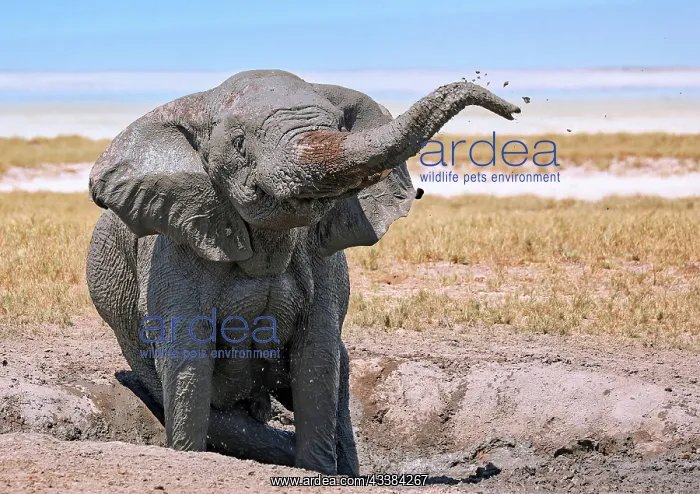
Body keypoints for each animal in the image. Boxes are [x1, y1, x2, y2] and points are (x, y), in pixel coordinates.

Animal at [85, 69, 520, 475]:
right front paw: (188, 457)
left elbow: (318, 358)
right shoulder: (176, 244)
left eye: (338, 128)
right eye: (239, 143)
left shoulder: (321, 258)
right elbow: (187, 360)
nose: (514, 108)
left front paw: (318, 472)